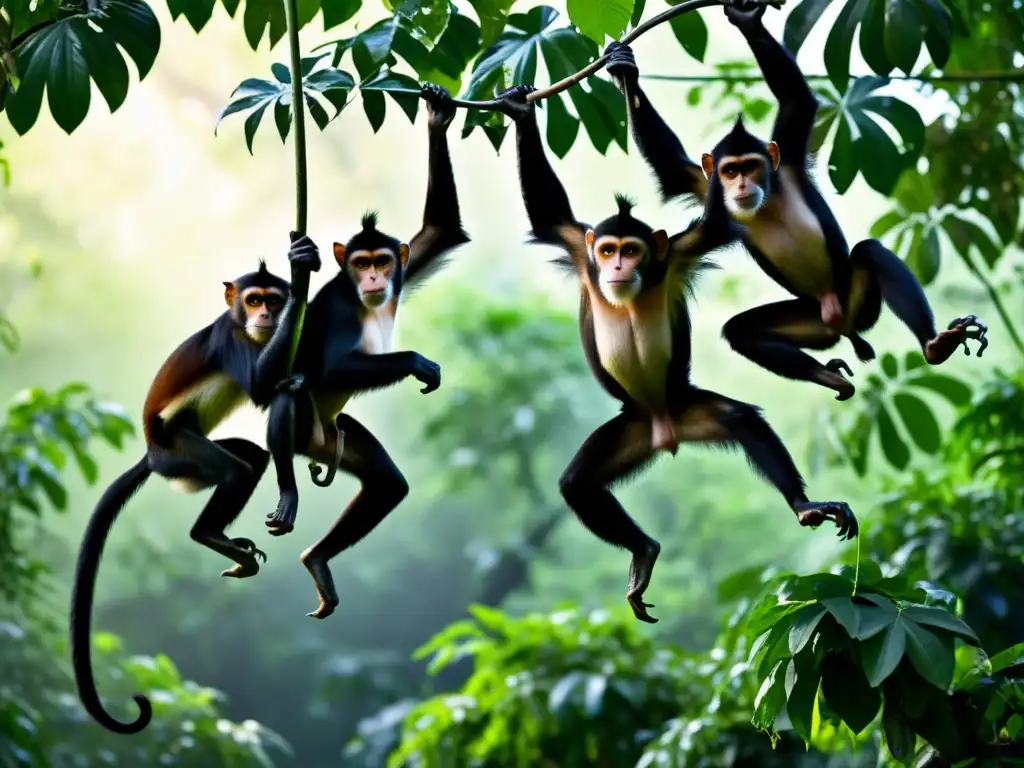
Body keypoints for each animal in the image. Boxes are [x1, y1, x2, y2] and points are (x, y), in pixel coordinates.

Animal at [68, 236, 319, 741]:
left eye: (272, 300)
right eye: (254, 301)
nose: (267, 317)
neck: (248, 331)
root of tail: (150, 454)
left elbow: (281, 389)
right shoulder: (230, 338)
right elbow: (262, 388)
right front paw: (301, 269)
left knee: (251, 457)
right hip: (181, 451)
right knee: (236, 471)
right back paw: (207, 535)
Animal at [264, 83, 471, 622]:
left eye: (381, 260)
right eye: (359, 264)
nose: (375, 276)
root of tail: (315, 445)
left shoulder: (406, 266)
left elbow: (440, 231)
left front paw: (437, 115)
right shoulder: (340, 304)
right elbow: (331, 366)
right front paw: (419, 362)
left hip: (338, 436)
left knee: (386, 483)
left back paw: (318, 560)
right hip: (306, 429)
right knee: (288, 393)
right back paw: (289, 494)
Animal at [495, 83, 856, 626]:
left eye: (632, 250)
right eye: (607, 250)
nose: (618, 266)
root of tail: (665, 429)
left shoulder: (681, 252)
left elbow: (715, 221)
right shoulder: (577, 250)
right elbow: (550, 216)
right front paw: (520, 110)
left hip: (690, 407)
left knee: (743, 421)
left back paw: (802, 505)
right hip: (630, 427)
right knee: (577, 485)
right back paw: (642, 551)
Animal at [602, 4, 987, 403]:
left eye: (751, 166)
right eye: (730, 170)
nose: (742, 183)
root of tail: (842, 321)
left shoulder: (784, 157)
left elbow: (797, 100)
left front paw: (747, 22)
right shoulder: (704, 182)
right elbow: (672, 166)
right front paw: (624, 70)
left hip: (859, 303)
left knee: (871, 253)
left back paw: (934, 344)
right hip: (814, 321)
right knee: (743, 331)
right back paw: (832, 378)